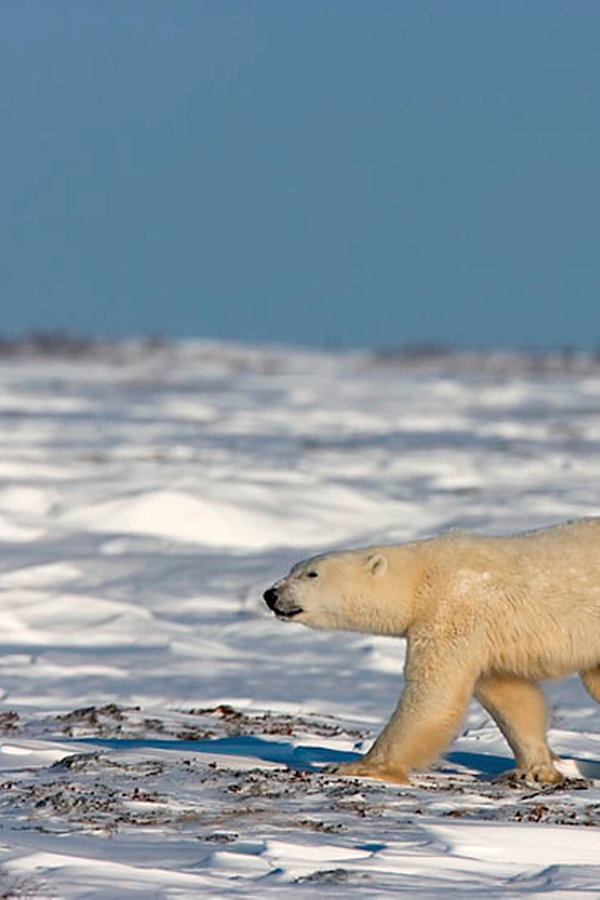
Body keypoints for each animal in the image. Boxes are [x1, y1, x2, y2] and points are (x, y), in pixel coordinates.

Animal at [262, 516, 600, 784]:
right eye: (294, 568)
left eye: (312, 574)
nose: (270, 594)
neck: (421, 577)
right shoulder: (485, 640)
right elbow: (511, 697)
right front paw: (532, 769)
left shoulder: (451, 612)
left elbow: (433, 694)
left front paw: (356, 766)